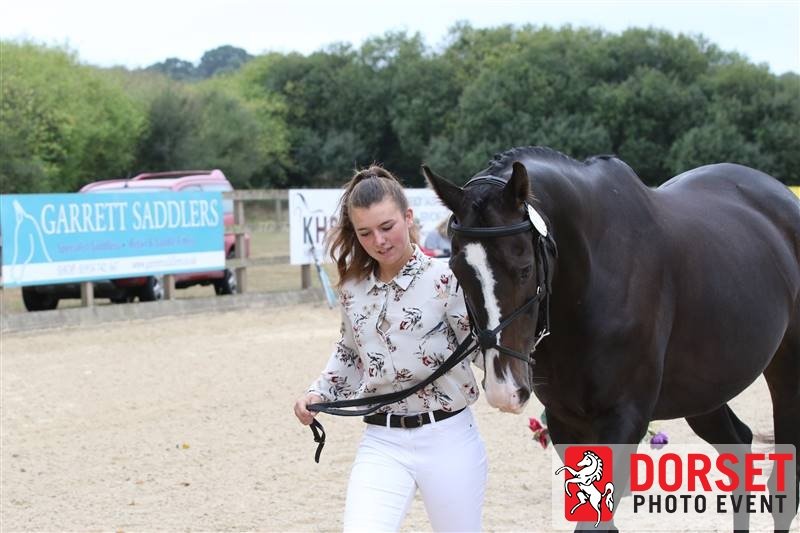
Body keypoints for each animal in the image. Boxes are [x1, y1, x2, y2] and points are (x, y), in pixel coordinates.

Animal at [422, 146, 800, 531]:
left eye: (524, 268)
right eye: (457, 271)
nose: (505, 390)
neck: (592, 279)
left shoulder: (624, 418)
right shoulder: (565, 420)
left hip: (787, 374)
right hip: (704, 392)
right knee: (739, 447)